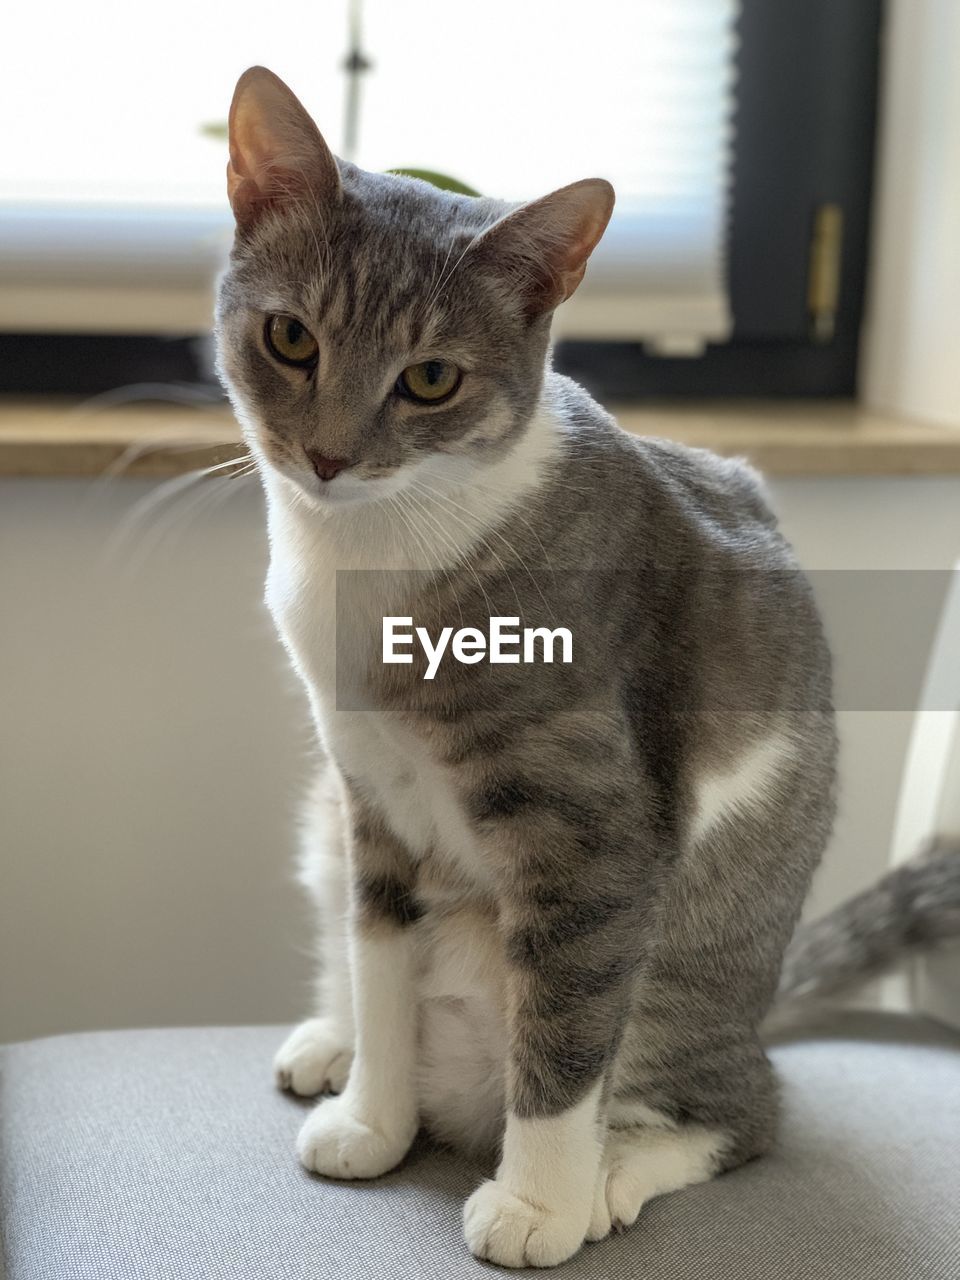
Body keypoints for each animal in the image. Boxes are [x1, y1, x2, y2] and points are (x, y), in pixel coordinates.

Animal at [213, 70, 839, 1269]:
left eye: (430, 378)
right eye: (290, 337)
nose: (327, 456)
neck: (372, 554)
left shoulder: (593, 830)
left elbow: (566, 1018)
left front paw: (539, 1201)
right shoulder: (367, 797)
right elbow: (381, 959)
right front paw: (373, 1116)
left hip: (692, 999)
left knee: (744, 1110)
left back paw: (612, 1173)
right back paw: (337, 1046)